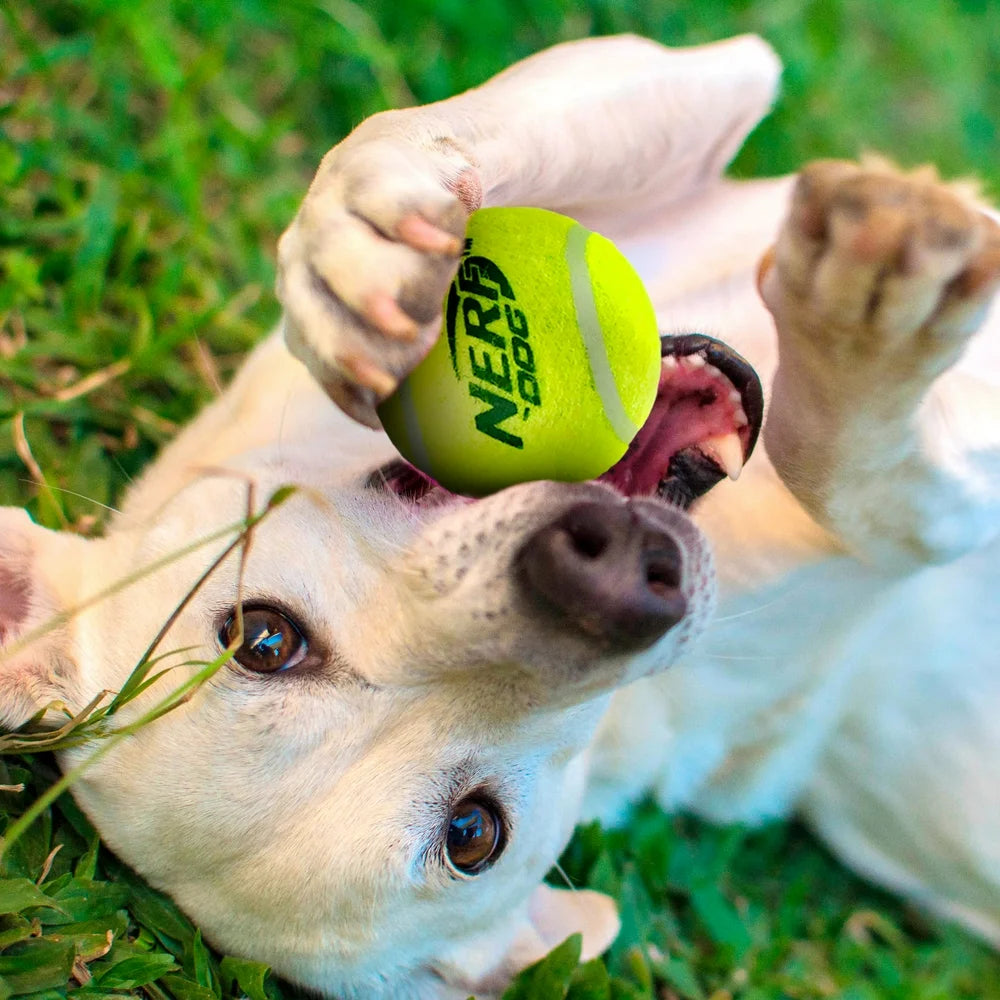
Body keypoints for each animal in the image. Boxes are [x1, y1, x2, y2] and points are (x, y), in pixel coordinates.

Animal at [1, 31, 1000, 1000]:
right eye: (475, 833)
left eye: (262, 639)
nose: (606, 576)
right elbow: (870, 482)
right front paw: (868, 333)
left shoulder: (681, 91)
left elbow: (416, 135)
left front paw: (357, 234)